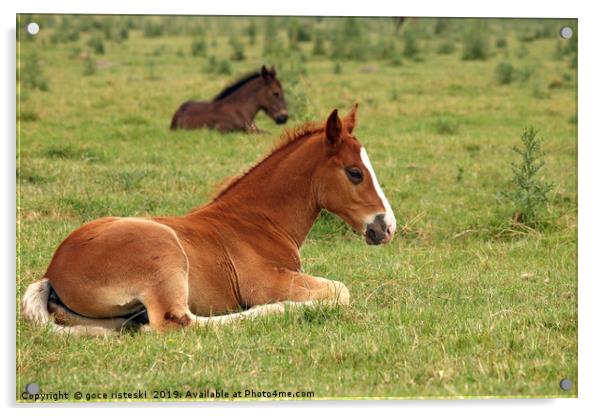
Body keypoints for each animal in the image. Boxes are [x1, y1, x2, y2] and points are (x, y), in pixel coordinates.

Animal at [23, 105, 396, 334]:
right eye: (355, 172)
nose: (386, 226)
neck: (257, 222)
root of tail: (53, 271)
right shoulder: (268, 282)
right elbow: (341, 291)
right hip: (164, 255)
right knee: (177, 322)